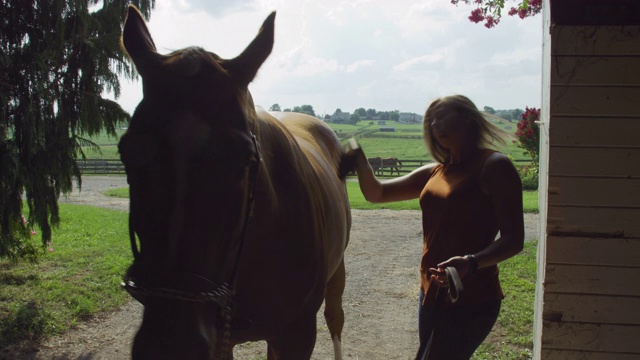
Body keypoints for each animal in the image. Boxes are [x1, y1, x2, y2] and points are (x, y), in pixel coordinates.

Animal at [119, 6, 350, 360]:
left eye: (244, 157)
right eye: (128, 152)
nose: (171, 345)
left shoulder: (296, 335)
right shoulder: (220, 338)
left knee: (335, 317)